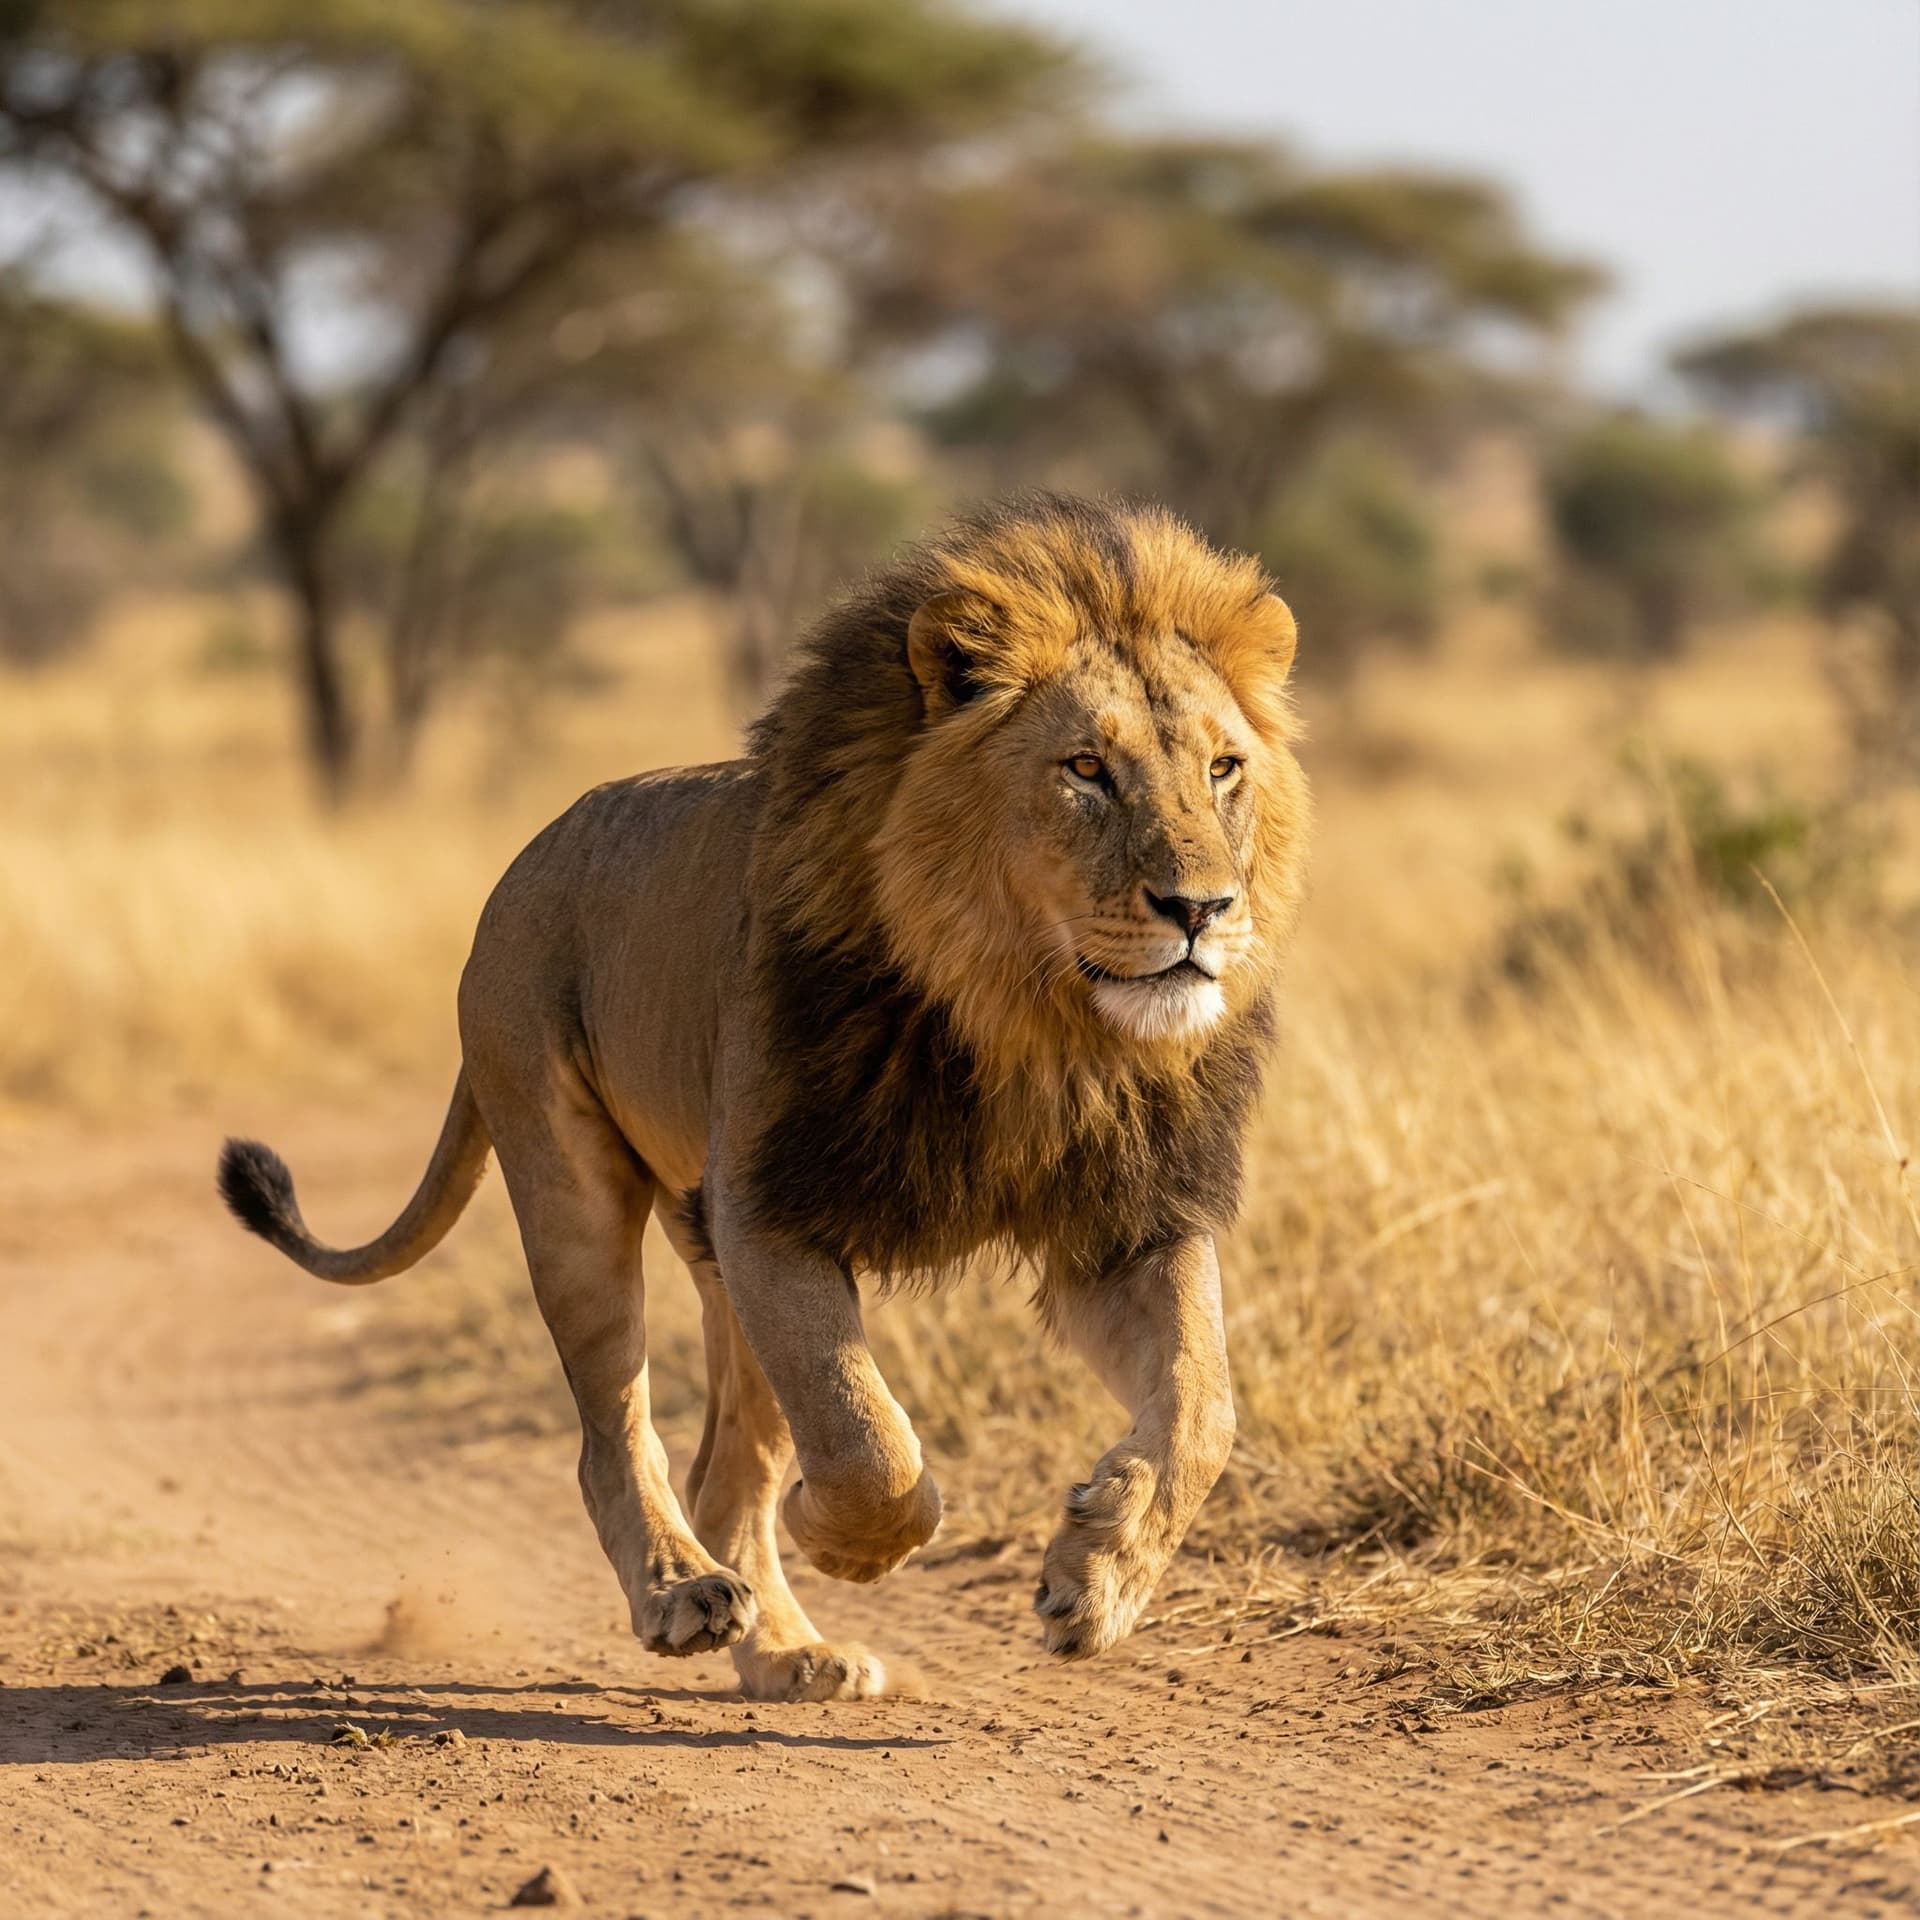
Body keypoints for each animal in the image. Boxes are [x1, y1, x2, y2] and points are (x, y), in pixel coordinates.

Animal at [218, 493, 1311, 1702]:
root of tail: (520, 869)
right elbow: (865, 1434)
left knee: (720, 1466)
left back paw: (789, 1653)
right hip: (577, 1194)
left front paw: (1096, 1577)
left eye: (1223, 769)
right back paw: (684, 1594)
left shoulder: (1124, 1222)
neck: (1030, 1019)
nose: (1202, 908)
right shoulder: (774, 1207)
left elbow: (1204, 1407)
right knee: (616, 1435)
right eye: (1085, 768)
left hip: (709, 1248)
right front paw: (849, 1539)